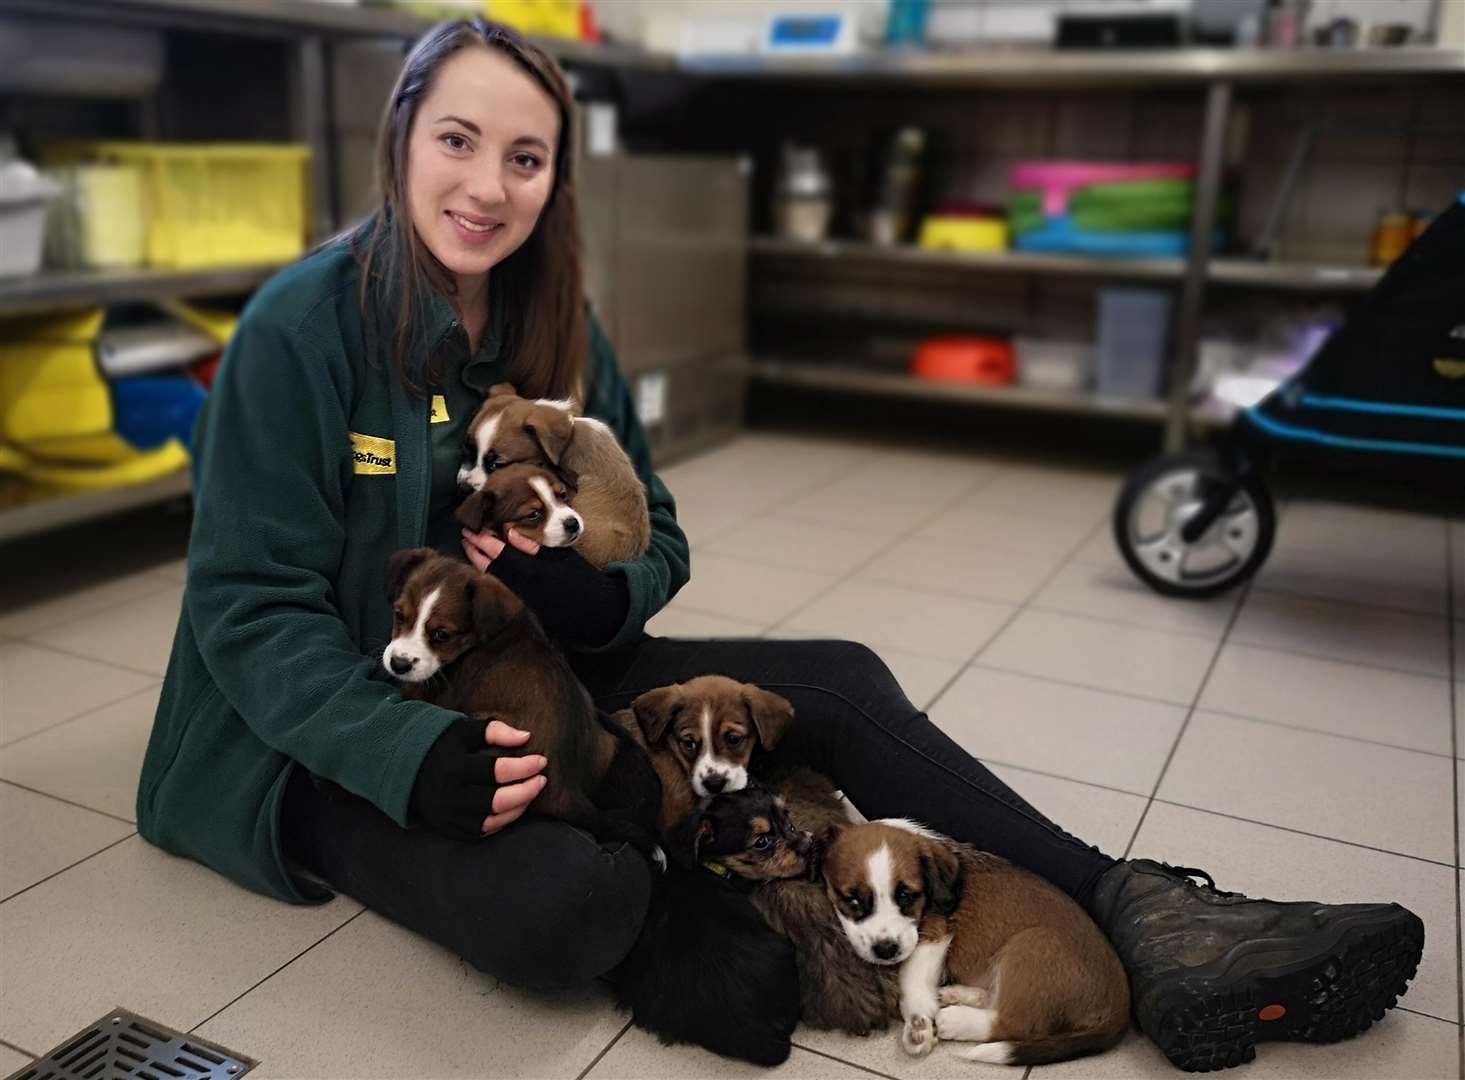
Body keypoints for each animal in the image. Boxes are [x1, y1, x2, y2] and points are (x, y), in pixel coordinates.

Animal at [820, 820, 1125, 1066]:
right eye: (852, 900)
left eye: (906, 895)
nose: (885, 950)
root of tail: (1119, 1008)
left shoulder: (934, 932)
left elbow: (910, 977)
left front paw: (918, 1024)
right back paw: (956, 995)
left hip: (1033, 944)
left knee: (1015, 1023)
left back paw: (956, 1020)